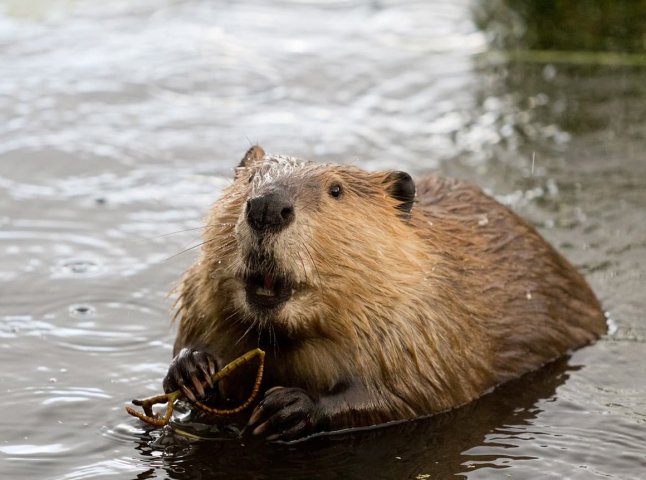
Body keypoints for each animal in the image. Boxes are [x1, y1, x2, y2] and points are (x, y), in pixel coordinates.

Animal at [163, 146, 608, 442]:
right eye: (250, 179)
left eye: (336, 190)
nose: (268, 208)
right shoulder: (200, 299)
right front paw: (192, 369)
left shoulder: (426, 321)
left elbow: (417, 392)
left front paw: (287, 407)